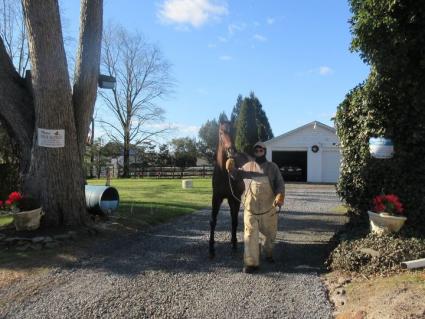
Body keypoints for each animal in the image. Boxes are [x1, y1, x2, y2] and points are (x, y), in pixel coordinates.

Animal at [209, 121, 248, 258]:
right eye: (221, 132)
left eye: (234, 130)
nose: (231, 150)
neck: (224, 172)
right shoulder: (216, 198)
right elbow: (213, 221)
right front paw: (211, 249)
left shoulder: (233, 199)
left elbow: (234, 221)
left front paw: (234, 243)